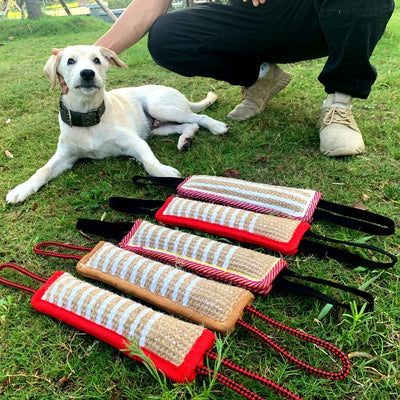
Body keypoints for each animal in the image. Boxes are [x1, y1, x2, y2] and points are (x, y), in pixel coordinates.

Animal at [5, 45, 228, 205]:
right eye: (70, 61)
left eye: (96, 60)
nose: (88, 73)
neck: (89, 119)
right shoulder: (64, 157)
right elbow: (42, 170)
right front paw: (21, 189)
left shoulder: (136, 143)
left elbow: (149, 162)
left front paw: (163, 172)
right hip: (159, 127)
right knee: (189, 125)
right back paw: (185, 140)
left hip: (159, 107)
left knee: (199, 118)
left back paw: (216, 126)